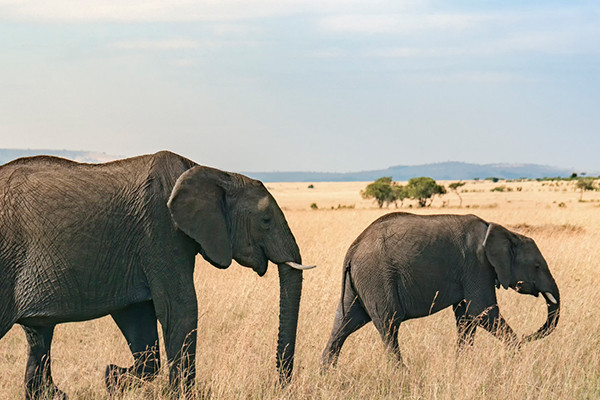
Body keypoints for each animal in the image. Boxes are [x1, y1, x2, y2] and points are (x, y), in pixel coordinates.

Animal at [0, 152, 316, 398]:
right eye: (265, 220)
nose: (280, 386)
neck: (214, 173)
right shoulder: (161, 231)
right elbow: (181, 309)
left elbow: (139, 320)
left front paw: (112, 379)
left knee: (39, 336)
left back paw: (55, 394)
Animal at [322, 214, 560, 368]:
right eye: (536, 267)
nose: (527, 337)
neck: (502, 231)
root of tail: (353, 249)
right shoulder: (477, 265)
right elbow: (482, 312)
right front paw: (516, 355)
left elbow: (466, 318)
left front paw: (462, 366)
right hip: (377, 277)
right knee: (389, 325)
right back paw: (401, 374)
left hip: (360, 283)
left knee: (344, 323)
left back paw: (327, 373)